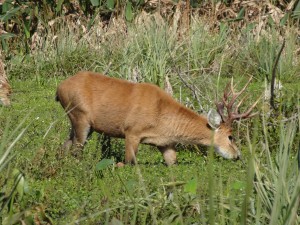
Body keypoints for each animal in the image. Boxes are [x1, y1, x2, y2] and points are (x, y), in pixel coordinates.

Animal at [55, 71, 258, 165]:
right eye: (231, 136)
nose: (238, 155)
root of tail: (59, 88)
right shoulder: (132, 132)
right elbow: (128, 163)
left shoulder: (166, 143)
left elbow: (172, 162)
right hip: (80, 116)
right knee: (76, 150)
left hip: (77, 122)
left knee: (65, 147)